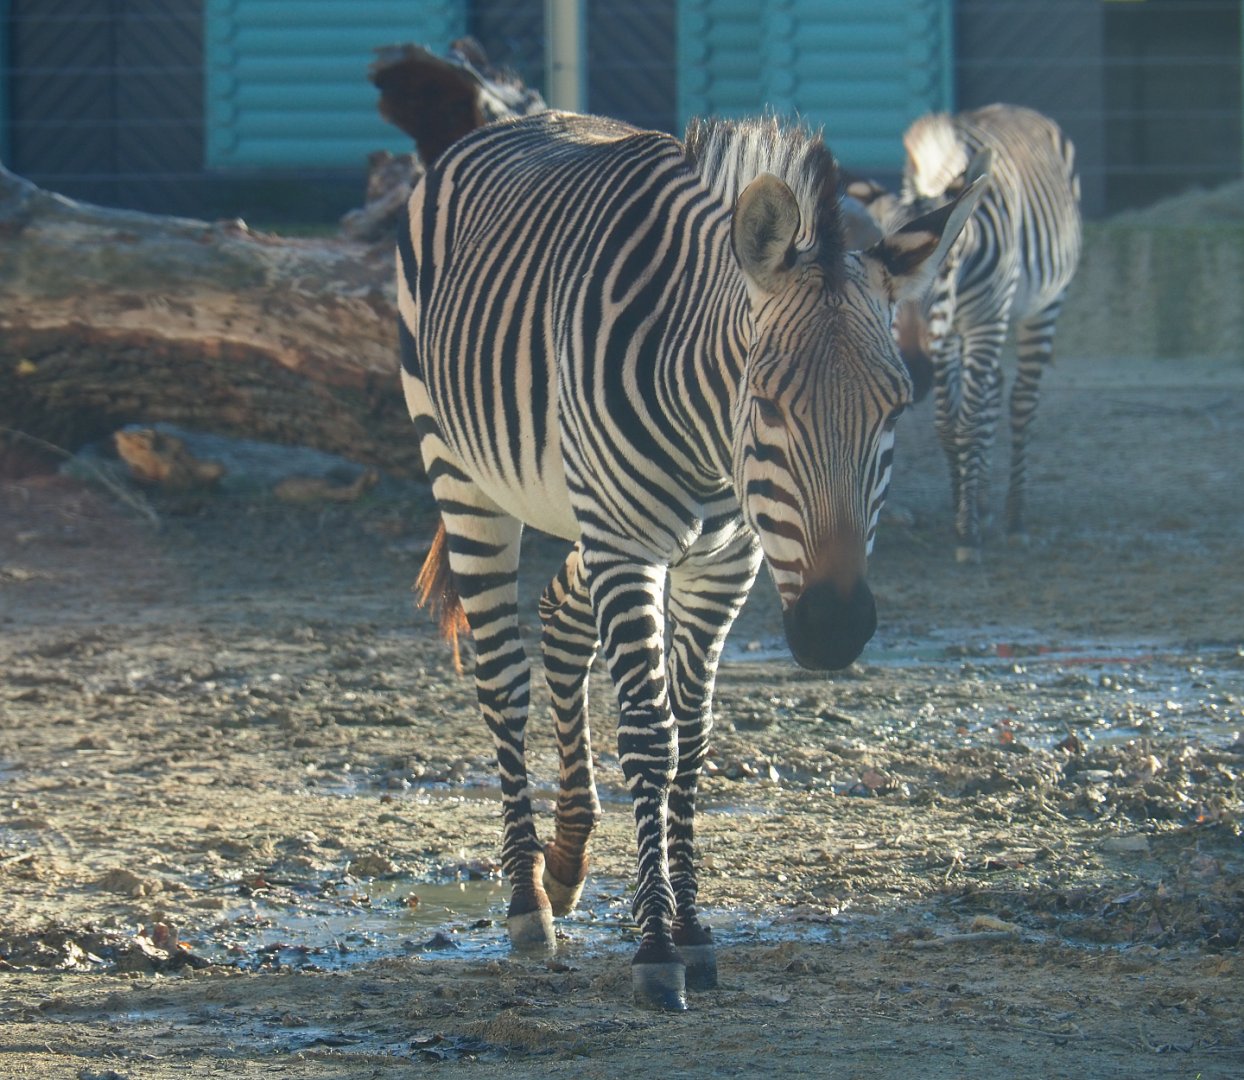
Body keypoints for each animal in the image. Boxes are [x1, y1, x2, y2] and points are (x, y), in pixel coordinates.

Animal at [398, 111, 984, 1010]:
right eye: (769, 403)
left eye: (895, 407)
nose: (833, 629)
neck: (712, 439)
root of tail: (512, 123)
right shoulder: (627, 544)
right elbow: (651, 735)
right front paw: (655, 948)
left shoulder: (725, 562)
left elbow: (694, 737)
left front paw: (696, 929)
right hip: (465, 476)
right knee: (501, 679)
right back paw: (528, 900)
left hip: (584, 507)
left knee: (560, 618)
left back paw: (567, 858)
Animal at [850, 104, 1082, 562]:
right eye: (882, 278)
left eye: (948, 262)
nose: (918, 374)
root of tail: (1017, 109)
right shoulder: (947, 337)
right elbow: (949, 421)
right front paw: (964, 506)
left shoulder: (984, 323)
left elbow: (969, 423)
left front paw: (967, 532)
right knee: (992, 389)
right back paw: (985, 503)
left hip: (1044, 304)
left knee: (1022, 401)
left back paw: (1014, 520)